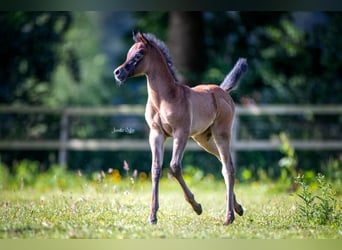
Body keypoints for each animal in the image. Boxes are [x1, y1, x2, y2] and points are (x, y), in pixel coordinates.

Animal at [113, 31, 247, 227]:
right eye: (128, 53)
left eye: (138, 54)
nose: (118, 72)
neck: (165, 98)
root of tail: (222, 90)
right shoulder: (156, 134)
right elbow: (156, 168)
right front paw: (152, 216)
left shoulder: (180, 133)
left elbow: (174, 167)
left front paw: (197, 206)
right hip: (203, 139)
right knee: (224, 163)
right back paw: (238, 208)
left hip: (221, 134)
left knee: (228, 167)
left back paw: (229, 217)